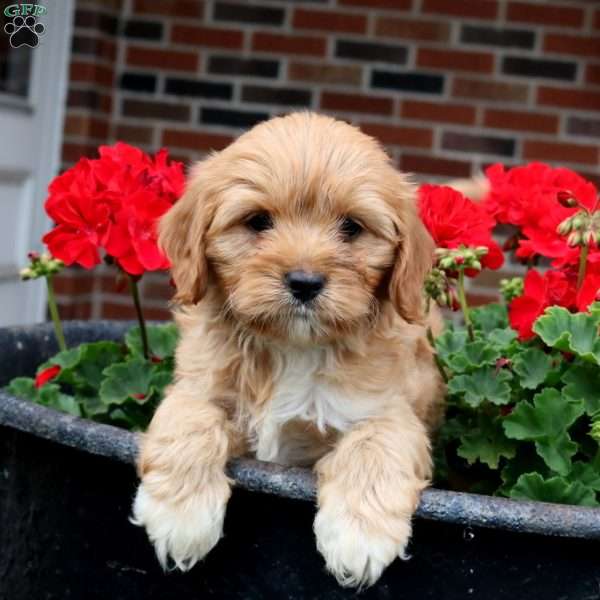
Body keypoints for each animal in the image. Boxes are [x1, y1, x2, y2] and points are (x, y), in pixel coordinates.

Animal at [132, 111, 446, 584]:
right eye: (258, 221)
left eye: (351, 227)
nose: (304, 282)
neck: (291, 348)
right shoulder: (199, 386)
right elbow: (188, 418)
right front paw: (180, 518)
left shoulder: (387, 409)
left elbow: (376, 443)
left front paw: (358, 537)